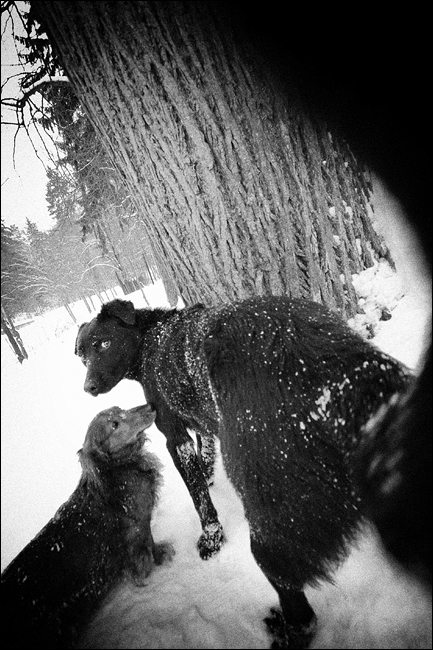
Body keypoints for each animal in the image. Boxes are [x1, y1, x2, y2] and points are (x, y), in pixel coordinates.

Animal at [2, 402, 174, 644]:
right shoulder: (138, 526)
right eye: (114, 424)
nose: (150, 405)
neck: (119, 467)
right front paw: (157, 562)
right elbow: (146, 545)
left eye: (119, 409)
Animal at [74, 296, 408, 644]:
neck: (151, 340)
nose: (88, 387)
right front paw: (207, 474)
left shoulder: (174, 436)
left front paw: (212, 538)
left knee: (300, 609)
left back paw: (286, 630)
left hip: (272, 516)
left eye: (103, 344)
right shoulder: (200, 420)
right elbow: (205, 450)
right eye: (82, 355)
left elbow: (199, 498)